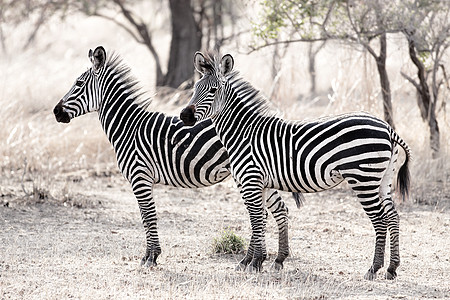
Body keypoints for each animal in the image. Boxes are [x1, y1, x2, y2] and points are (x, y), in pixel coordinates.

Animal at [52, 46, 298, 270]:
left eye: (78, 84)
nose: (55, 112)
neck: (129, 127)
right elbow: (147, 216)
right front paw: (151, 255)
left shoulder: (140, 177)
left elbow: (148, 216)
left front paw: (150, 257)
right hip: (260, 174)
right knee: (277, 209)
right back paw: (275, 259)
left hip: (249, 173)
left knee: (265, 212)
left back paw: (257, 260)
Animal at [179, 51, 412, 278]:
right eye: (194, 88)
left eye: (213, 90)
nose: (185, 116)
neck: (243, 132)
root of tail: (386, 127)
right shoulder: (261, 183)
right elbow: (261, 219)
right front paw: (258, 261)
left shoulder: (250, 180)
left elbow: (255, 219)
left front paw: (252, 263)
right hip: (382, 179)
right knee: (392, 216)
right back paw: (392, 268)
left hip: (364, 179)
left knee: (380, 220)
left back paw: (374, 268)